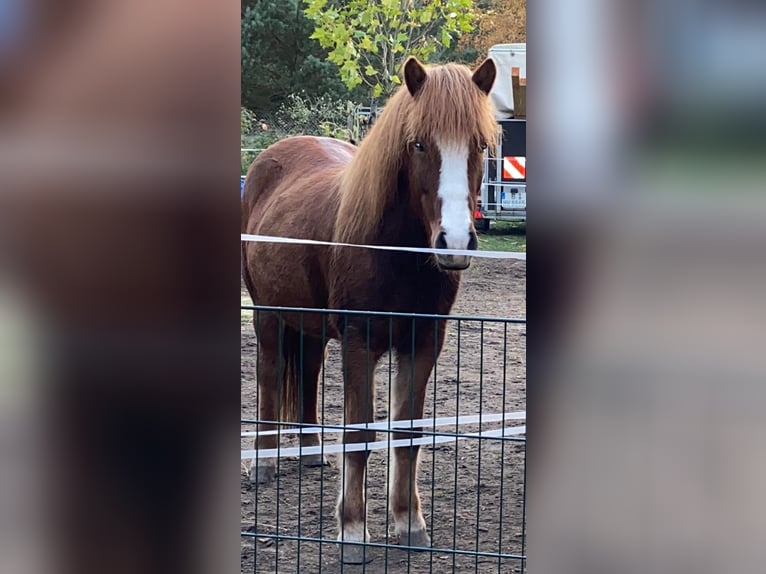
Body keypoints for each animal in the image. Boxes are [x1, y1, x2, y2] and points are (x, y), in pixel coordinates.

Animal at [243, 58, 500, 568]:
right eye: (418, 143)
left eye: (480, 145)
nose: (456, 242)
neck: (395, 254)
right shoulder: (361, 343)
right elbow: (358, 436)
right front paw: (353, 532)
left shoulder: (422, 344)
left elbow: (407, 435)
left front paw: (409, 523)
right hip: (266, 314)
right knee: (269, 374)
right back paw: (262, 459)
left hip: (312, 326)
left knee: (307, 372)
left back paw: (309, 450)